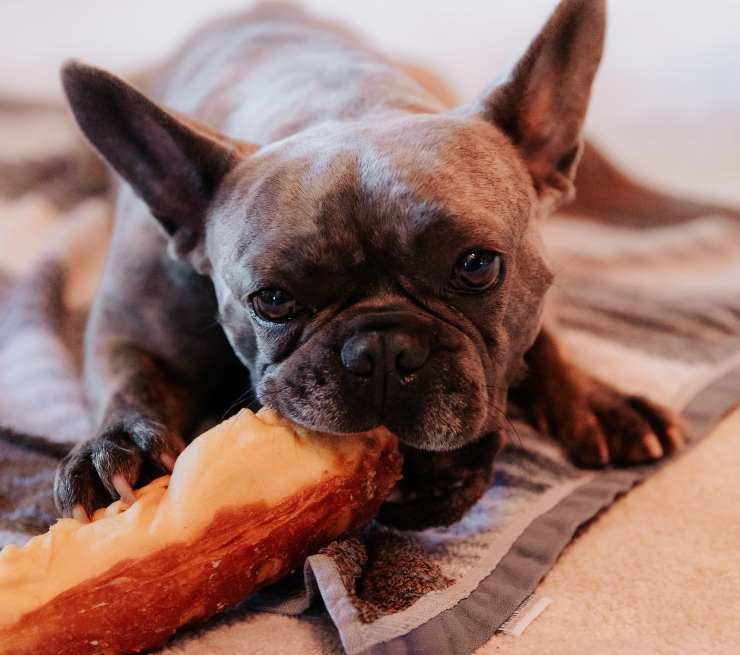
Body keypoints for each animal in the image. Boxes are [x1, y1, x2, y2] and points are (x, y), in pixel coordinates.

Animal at [52, 0, 692, 524]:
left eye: (478, 266)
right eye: (273, 300)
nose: (382, 349)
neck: (340, 103)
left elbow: (551, 342)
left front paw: (600, 403)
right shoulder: (127, 325)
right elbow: (129, 377)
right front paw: (120, 446)